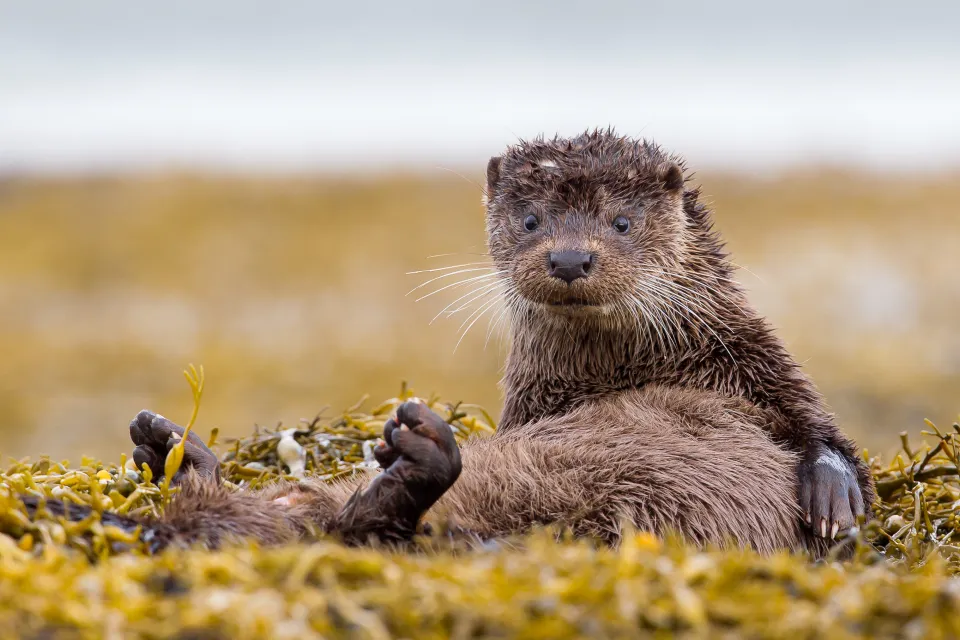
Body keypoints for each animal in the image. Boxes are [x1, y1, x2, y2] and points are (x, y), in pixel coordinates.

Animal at [25, 131, 874, 554]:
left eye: (622, 221)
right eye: (529, 219)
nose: (571, 257)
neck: (641, 365)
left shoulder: (755, 360)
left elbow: (822, 430)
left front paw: (831, 499)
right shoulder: (530, 407)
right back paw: (174, 447)